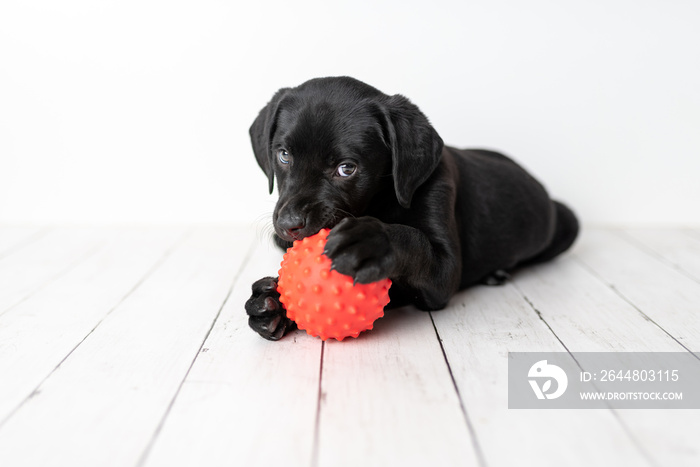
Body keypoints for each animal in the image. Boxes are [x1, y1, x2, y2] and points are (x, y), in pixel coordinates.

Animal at [243, 77, 576, 340]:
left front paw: (371, 242)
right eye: (284, 155)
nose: (289, 225)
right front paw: (273, 304)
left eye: (346, 168)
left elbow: (416, 244)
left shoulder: (443, 271)